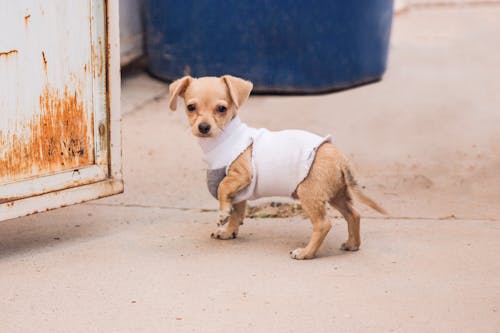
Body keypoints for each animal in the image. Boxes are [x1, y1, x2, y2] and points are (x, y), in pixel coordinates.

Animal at [169, 75, 386, 260]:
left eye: (221, 108)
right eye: (191, 107)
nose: (203, 128)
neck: (222, 140)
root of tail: (340, 158)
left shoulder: (240, 176)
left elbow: (223, 190)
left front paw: (223, 215)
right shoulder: (239, 192)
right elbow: (237, 212)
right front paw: (229, 231)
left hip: (309, 193)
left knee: (323, 224)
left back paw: (306, 253)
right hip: (335, 194)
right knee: (353, 214)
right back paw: (352, 244)